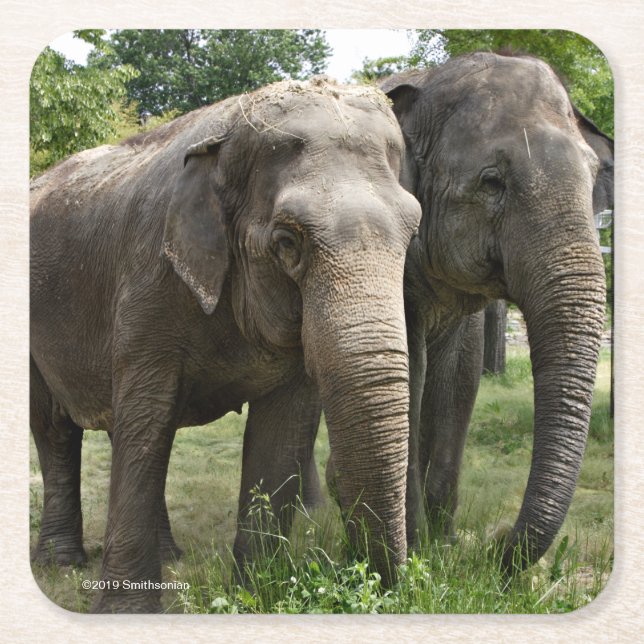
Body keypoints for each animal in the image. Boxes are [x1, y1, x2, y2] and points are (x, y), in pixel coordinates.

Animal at [30, 77, 421, 613]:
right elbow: (148, 416)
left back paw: (168, 554)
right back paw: (61, 563)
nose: (359, 576)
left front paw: (255, 595)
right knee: (57, 428)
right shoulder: (149, 280)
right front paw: (125, 612)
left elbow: (282, 431)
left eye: (413, 233)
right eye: (287, 241)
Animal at [374, 51, 611, 572]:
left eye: (591, 178)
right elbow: (408, 374)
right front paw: (416, 556)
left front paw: (444, 547)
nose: (497, 545)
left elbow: (460, 379)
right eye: (491, 182)